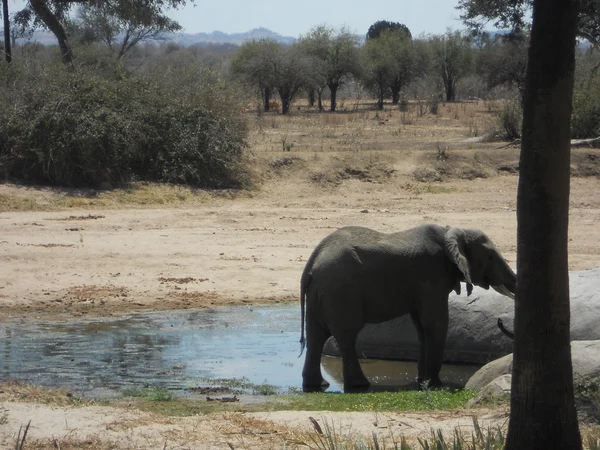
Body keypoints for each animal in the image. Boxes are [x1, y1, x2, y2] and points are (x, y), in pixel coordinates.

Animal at [300, 223, 516, 392]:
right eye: (490, 257)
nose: (500, 320)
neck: (451, 231)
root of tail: (312, 263)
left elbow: (421, 326)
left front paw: (423, 382)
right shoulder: (431, 278)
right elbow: (435, 323)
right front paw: (436, 385)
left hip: (321, 294)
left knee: (316, 336)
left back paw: (318, 386)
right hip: (340, 292)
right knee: (346, 336)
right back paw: (360, 386)